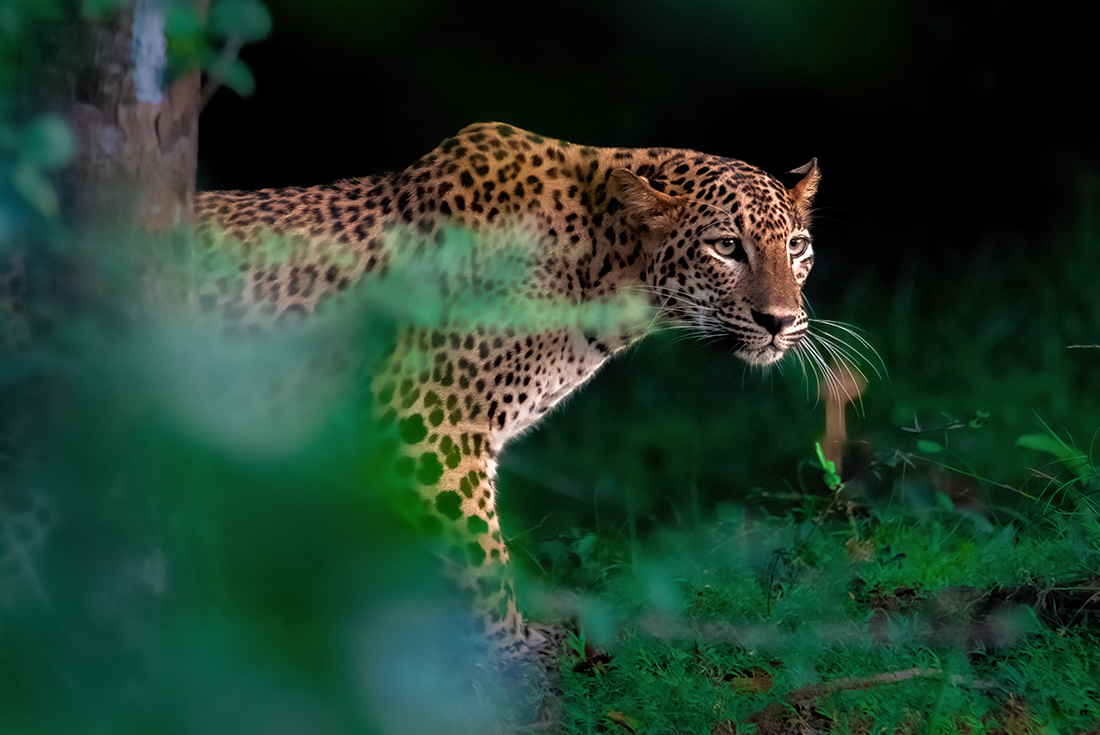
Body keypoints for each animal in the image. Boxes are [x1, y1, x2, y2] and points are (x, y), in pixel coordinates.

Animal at [194, 121, 822, 658]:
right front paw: (510, 650)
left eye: (796, 247)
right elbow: (480, 554)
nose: (780, 321)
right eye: (726, 247)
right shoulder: (428, 423)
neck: (605, 272)